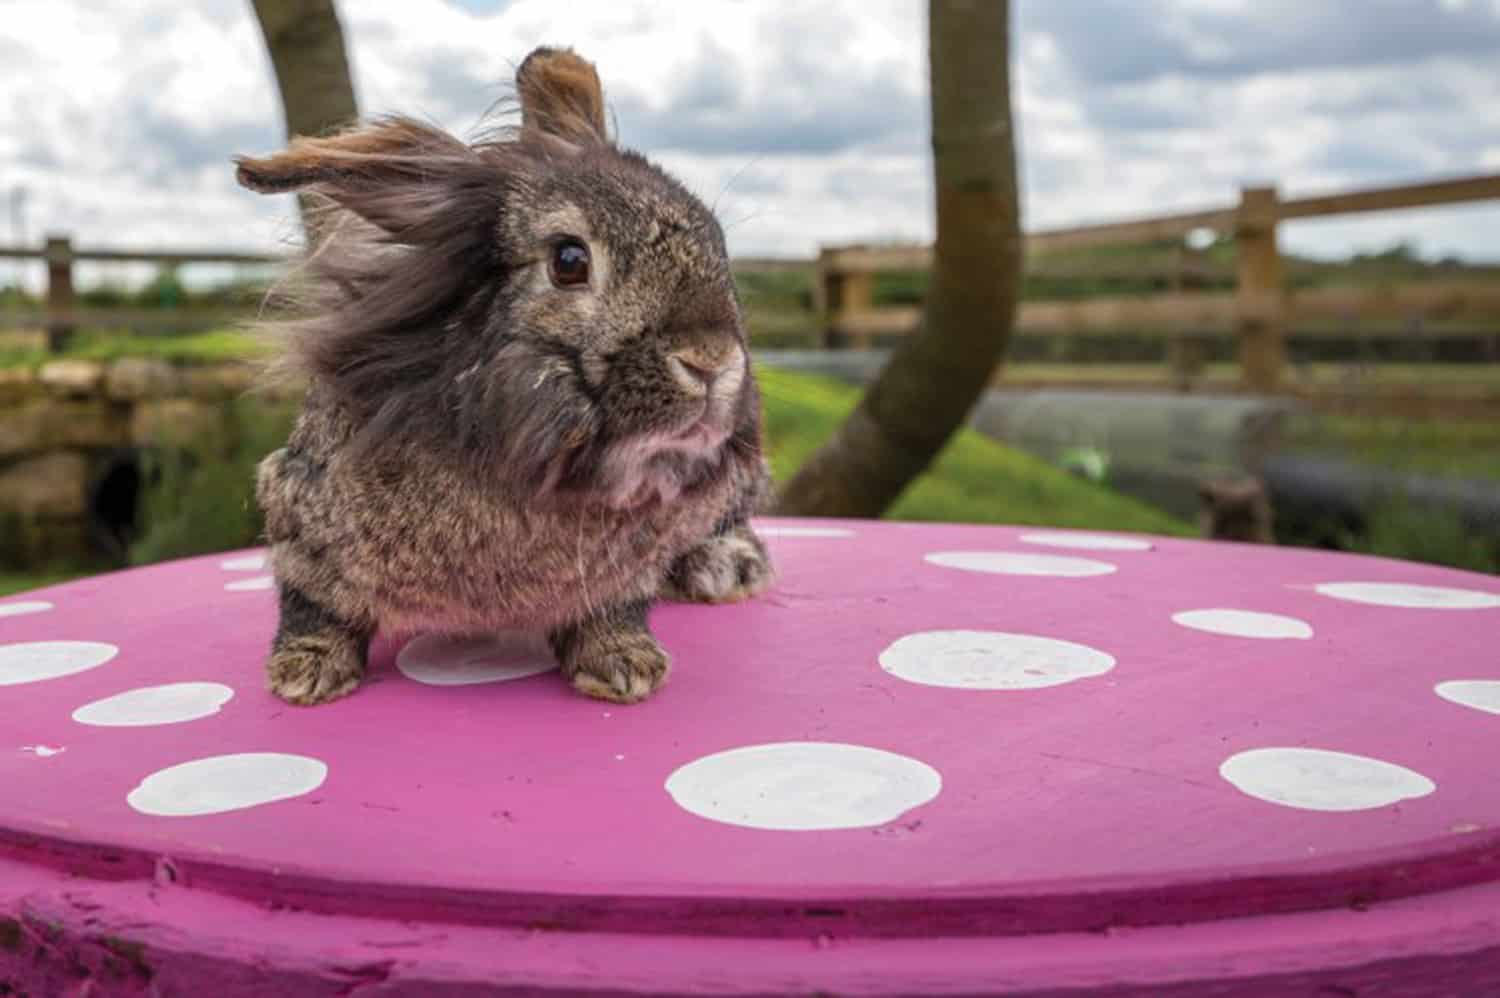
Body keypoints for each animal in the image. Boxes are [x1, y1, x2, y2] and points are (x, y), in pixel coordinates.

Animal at [233, 47, 774, 707]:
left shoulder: (624, 574)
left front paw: (625, 667)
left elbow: (615, 610)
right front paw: (305, 674)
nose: (711, 359)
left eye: (719, 244)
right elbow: (313, 605)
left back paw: (727, 567)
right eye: (569, 260)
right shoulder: (300, 519)